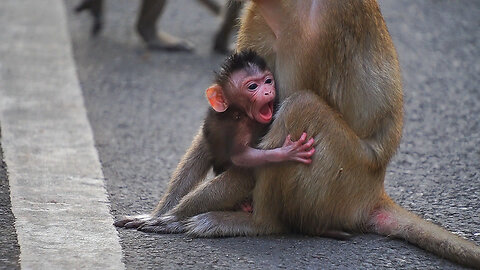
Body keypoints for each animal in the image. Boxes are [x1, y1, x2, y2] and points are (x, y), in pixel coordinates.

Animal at [202, 50, 316, 211]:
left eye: (268, 81)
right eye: (253, 86)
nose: (268, 91)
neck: (241, 113)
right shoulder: (240, 127)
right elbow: (241, 156)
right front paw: (286, 152)